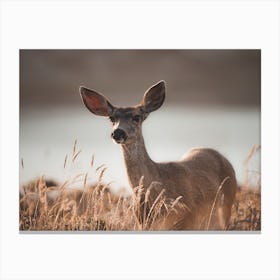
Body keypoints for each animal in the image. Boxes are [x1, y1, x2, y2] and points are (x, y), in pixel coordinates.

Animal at [79, 80, 236, 230]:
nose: (118, 132)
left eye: (137, 117)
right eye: (112, 118)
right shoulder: (142, 221)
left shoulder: (188, 217)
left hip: (227, 202)